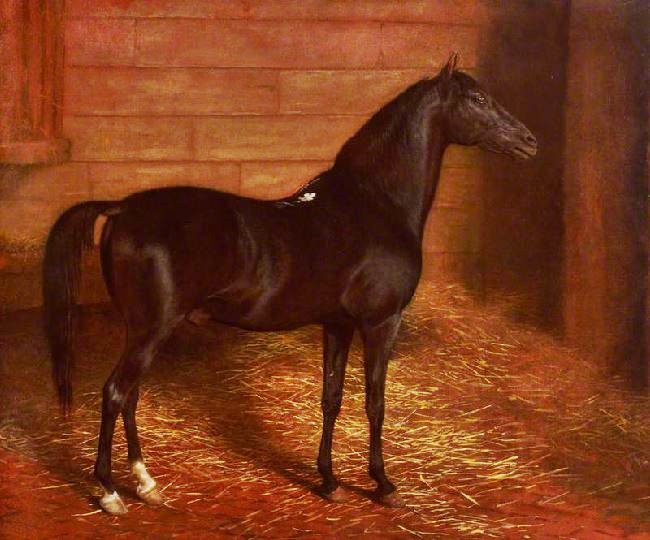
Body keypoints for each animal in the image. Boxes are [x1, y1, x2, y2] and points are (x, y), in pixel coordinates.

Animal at [42, 54, 537, 515]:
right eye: (478, 99)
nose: (529, 141)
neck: (375, 203)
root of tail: (123, 207)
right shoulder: (381, 323)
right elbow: (375, 402)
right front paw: (382, 484)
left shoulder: (338, 324)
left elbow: (332, 398)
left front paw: (329, 481)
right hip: (150, 331)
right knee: (115, 394)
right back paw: (110, 492)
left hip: (143, 333)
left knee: (130, 397)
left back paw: (146, 484)